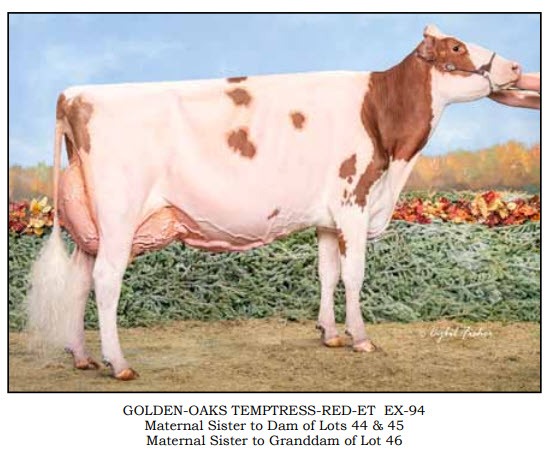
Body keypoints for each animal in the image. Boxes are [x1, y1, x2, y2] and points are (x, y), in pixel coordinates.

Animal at [26, 25, 524, 380]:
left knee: (80, 281)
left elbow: (327, 273)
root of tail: (75, 94)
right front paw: (361, 337)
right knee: (106, 281)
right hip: (119, 216)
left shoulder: (328, 217)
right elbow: (354, 275)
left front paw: (330, 333)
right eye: (457, 47)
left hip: (92, 226)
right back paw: (119, 363)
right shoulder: (354, 202)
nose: (517, 67)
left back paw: (83, 357)